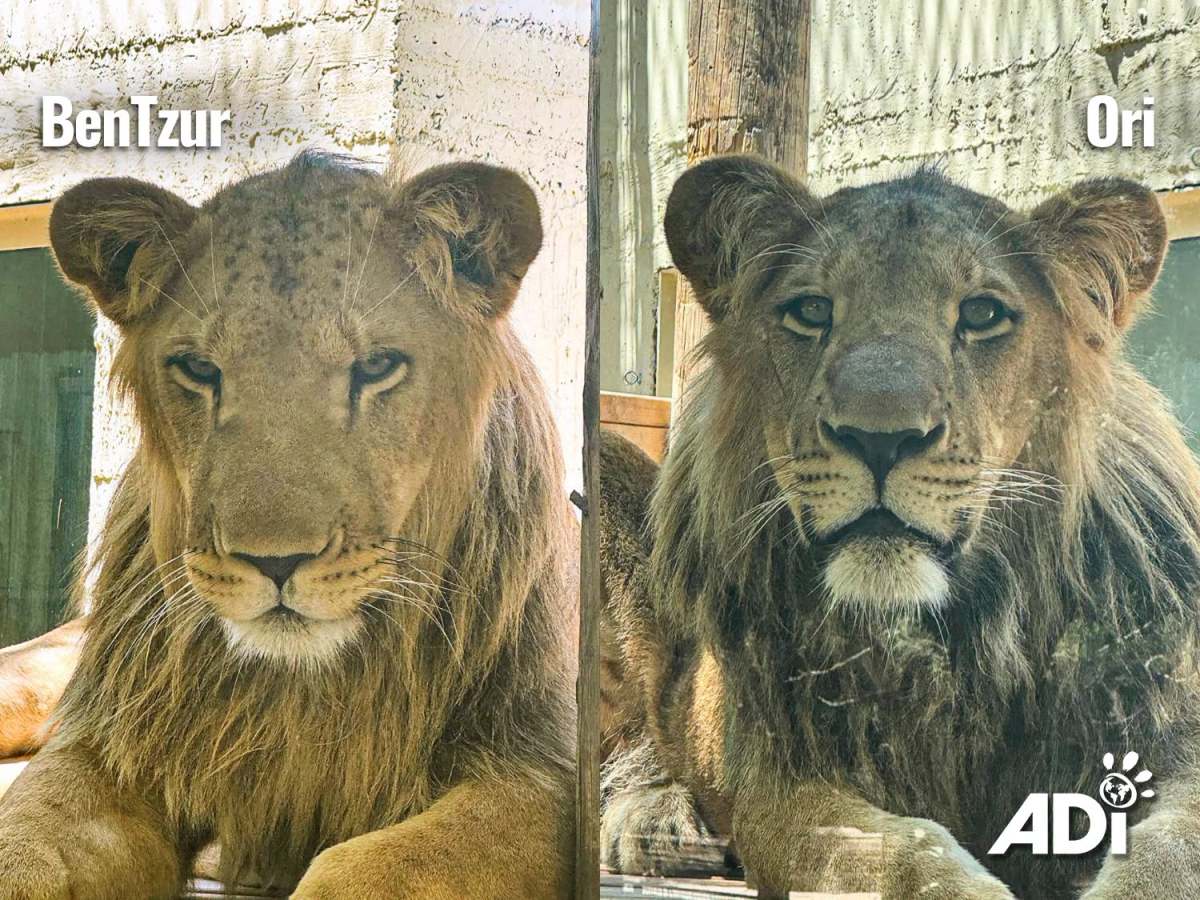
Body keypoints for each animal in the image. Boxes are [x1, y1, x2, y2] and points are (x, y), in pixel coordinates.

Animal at [0, 151, 577, 899]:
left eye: (377, 366)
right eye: (199, 368)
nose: (274, 563)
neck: (299, 690)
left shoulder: (542, 773)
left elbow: (365, 871)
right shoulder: (105, 741)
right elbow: (23, 848)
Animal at [599, 154, 1200, 899]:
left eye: (982, 313)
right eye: (811, 311)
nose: (879, 439)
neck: (957, 641)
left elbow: (1168, 856)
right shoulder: (780, 783)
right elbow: (900, 851)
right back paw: (657, 823)